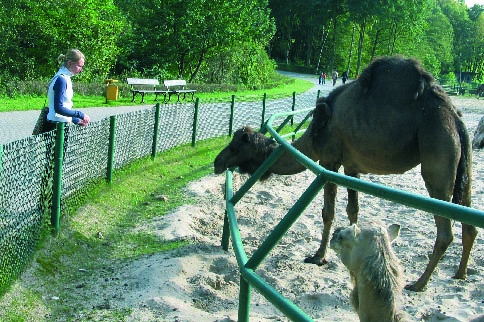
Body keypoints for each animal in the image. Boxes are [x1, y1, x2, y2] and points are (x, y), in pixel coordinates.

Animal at [215, 55, 476, 292]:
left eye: (235, 146)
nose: (217, 162)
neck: (316, 132)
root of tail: (454, 116)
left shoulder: (329, 160)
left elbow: (327, 212)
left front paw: (318, 256)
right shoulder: (351, 166)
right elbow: (353, 209)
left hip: (437, 150)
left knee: (445, 231)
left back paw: (418, 283)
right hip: (463, 160)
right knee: (468, 218)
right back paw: (460, 273)